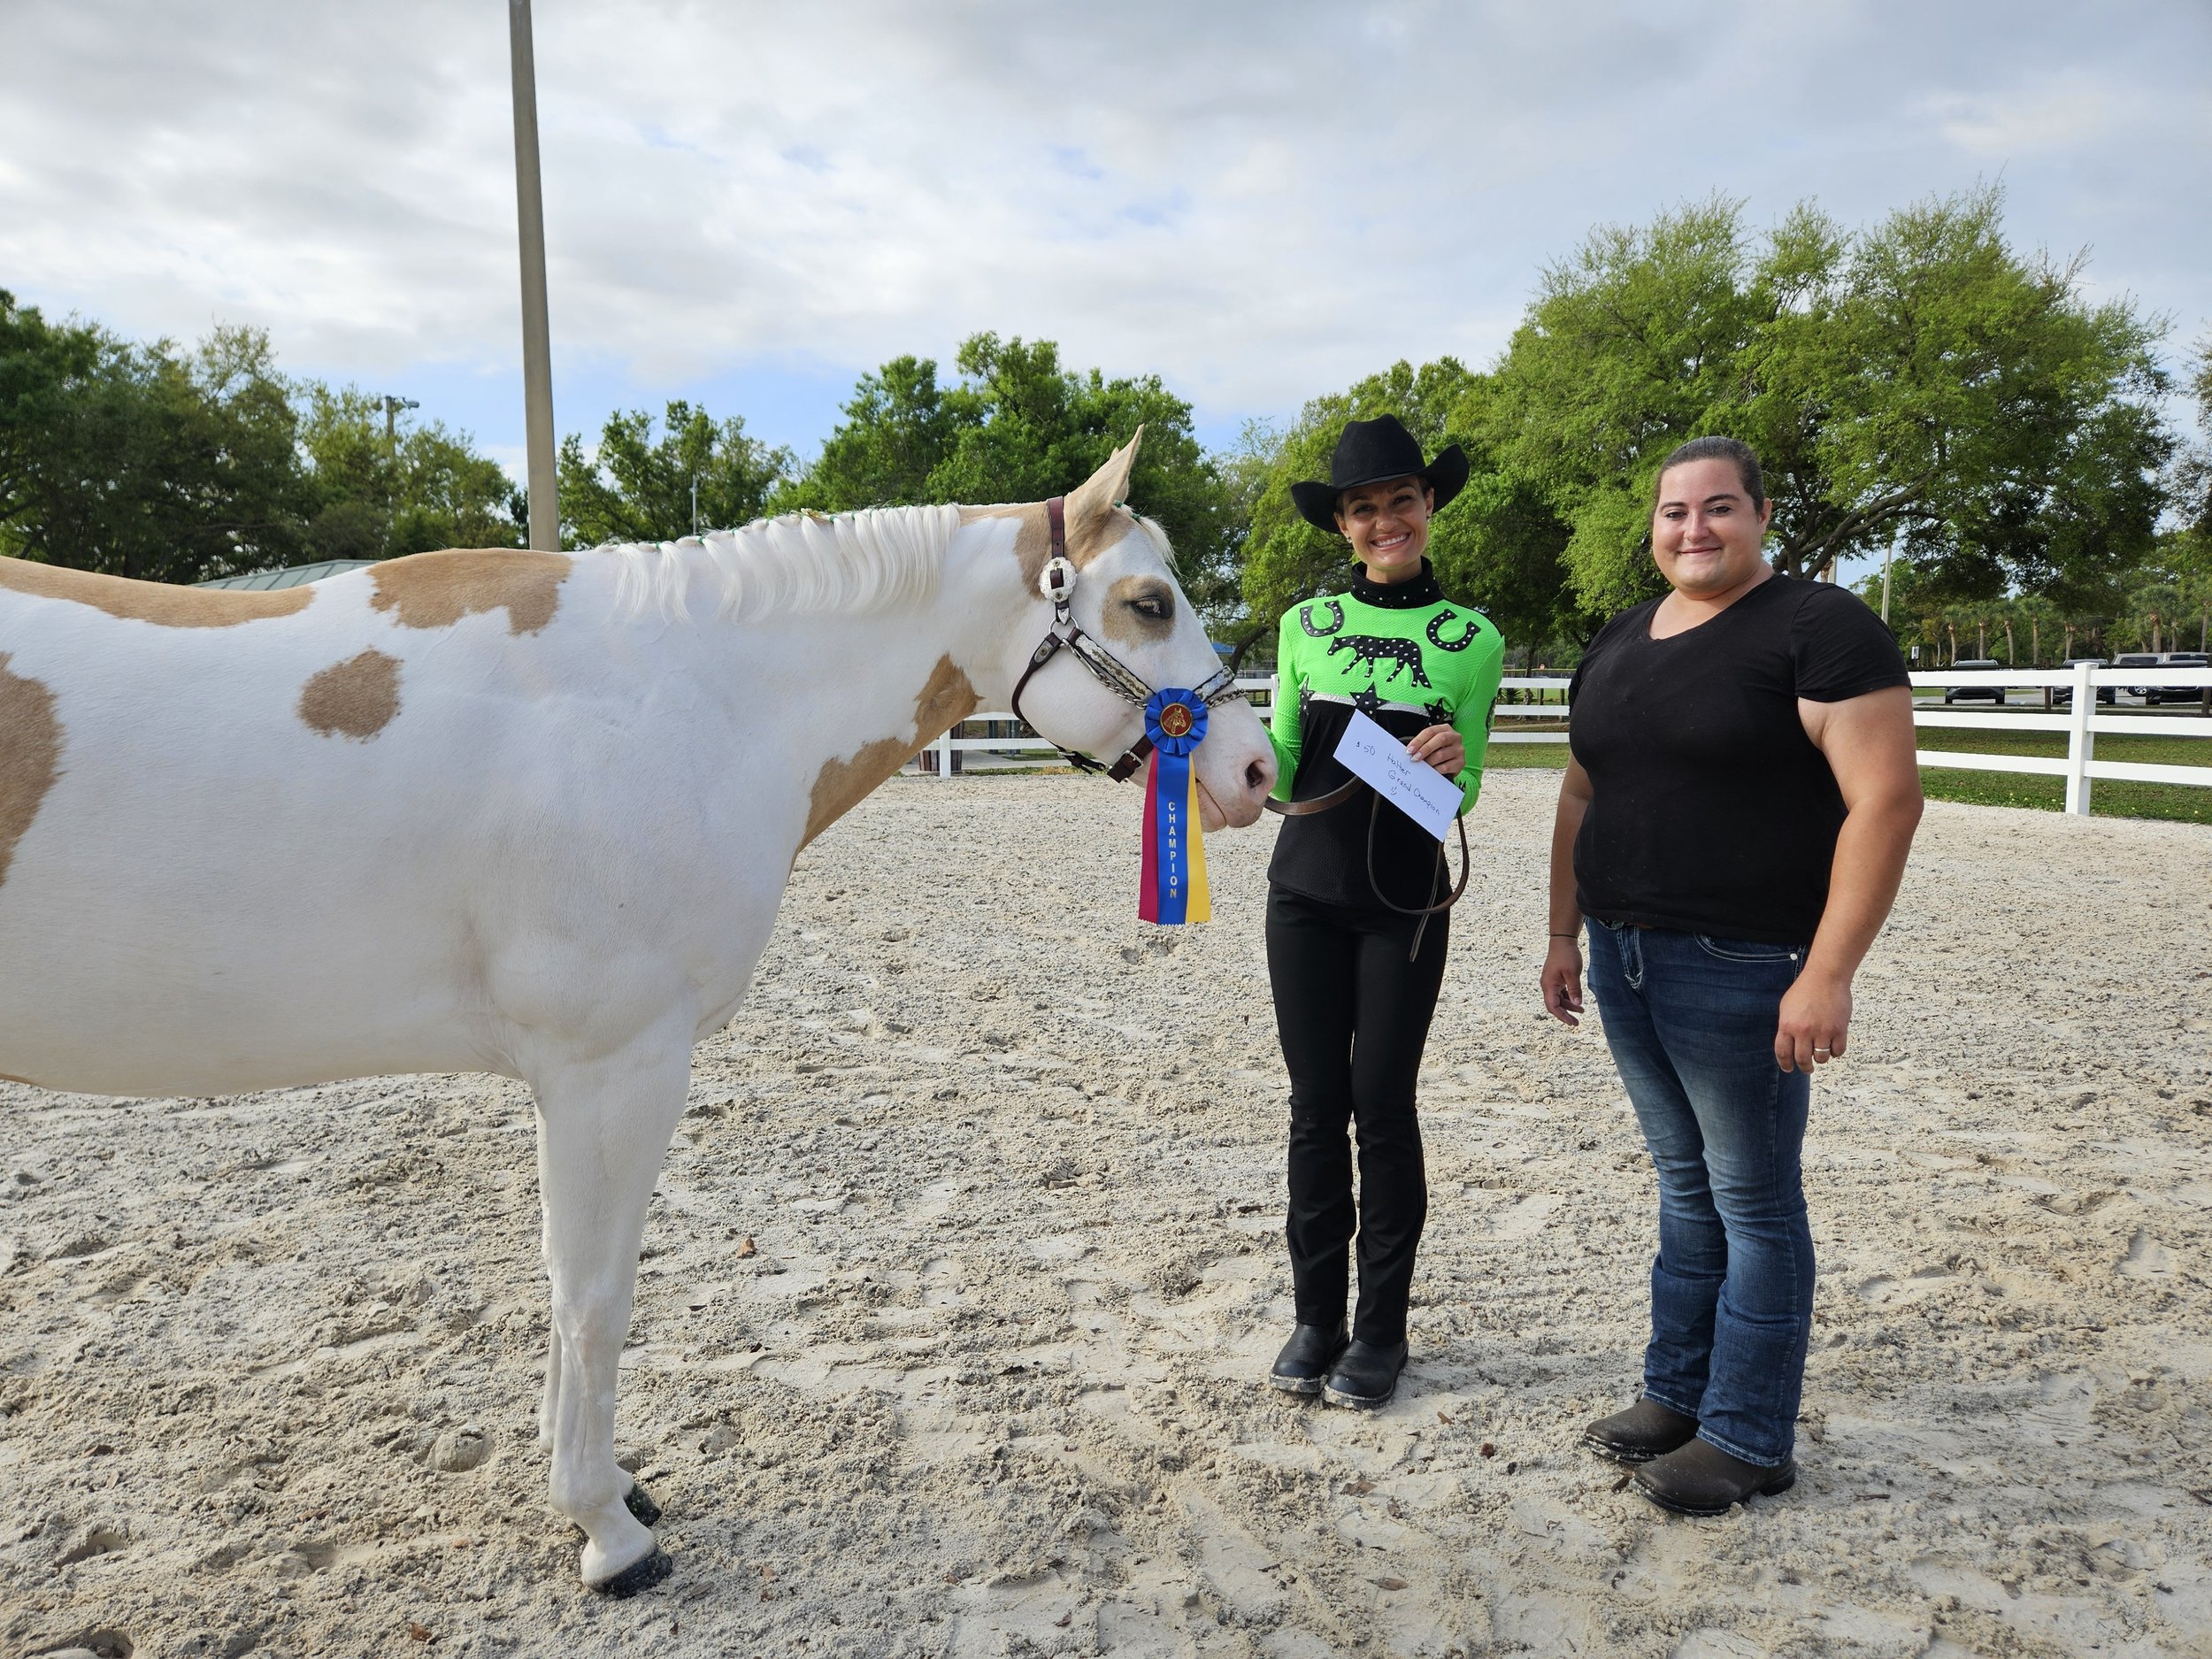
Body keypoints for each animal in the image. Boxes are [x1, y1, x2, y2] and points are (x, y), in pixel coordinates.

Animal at [0, 433, 1277, 1592]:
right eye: (1148, 600)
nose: (1260, 769)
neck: (672, 696)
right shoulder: (614, 1067)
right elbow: (595, 1296)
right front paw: (608, 1534)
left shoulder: (575, 1081)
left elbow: (563, 1283)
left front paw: (610, 1486)